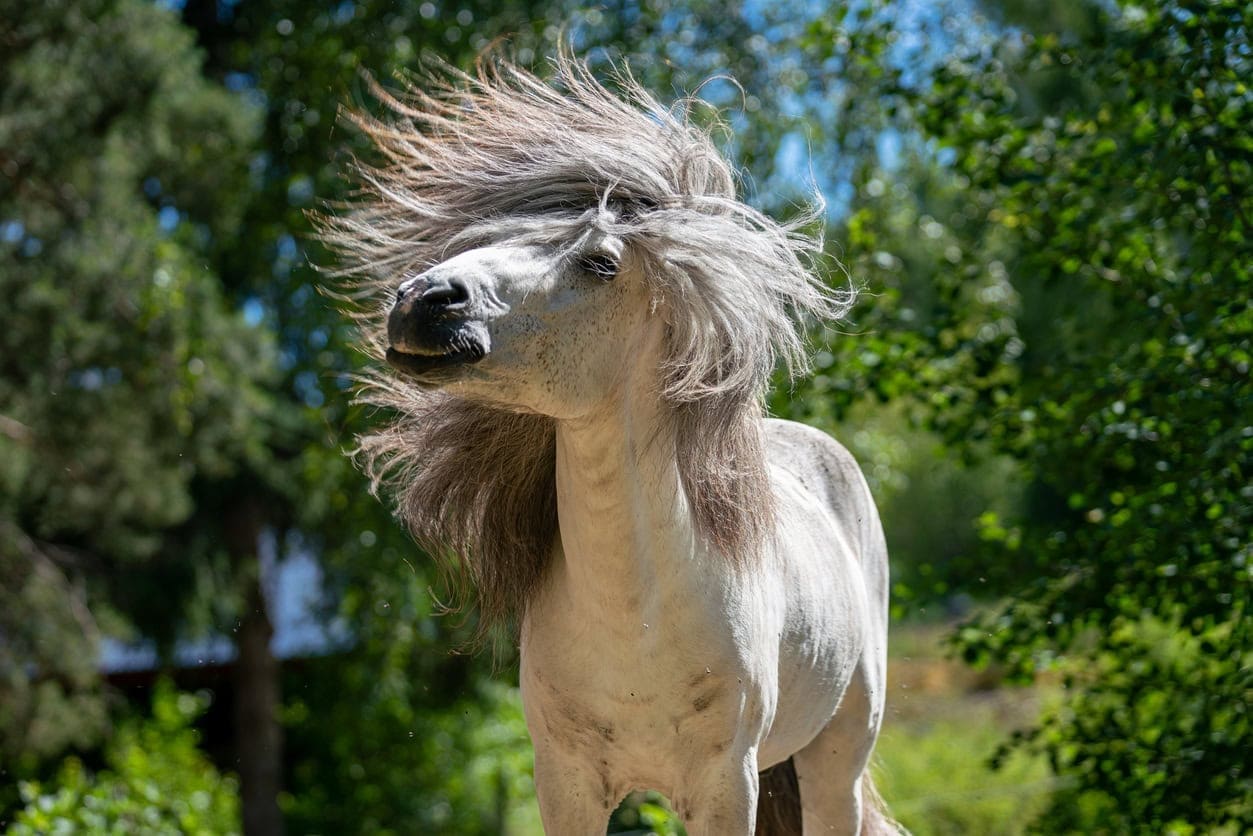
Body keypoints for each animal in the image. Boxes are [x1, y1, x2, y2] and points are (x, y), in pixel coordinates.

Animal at [322, 53, 896, 835]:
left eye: (599, 263)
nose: (423, 302)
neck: (637, 615)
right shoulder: (566, 785)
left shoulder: (726, 786)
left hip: (836, 761)